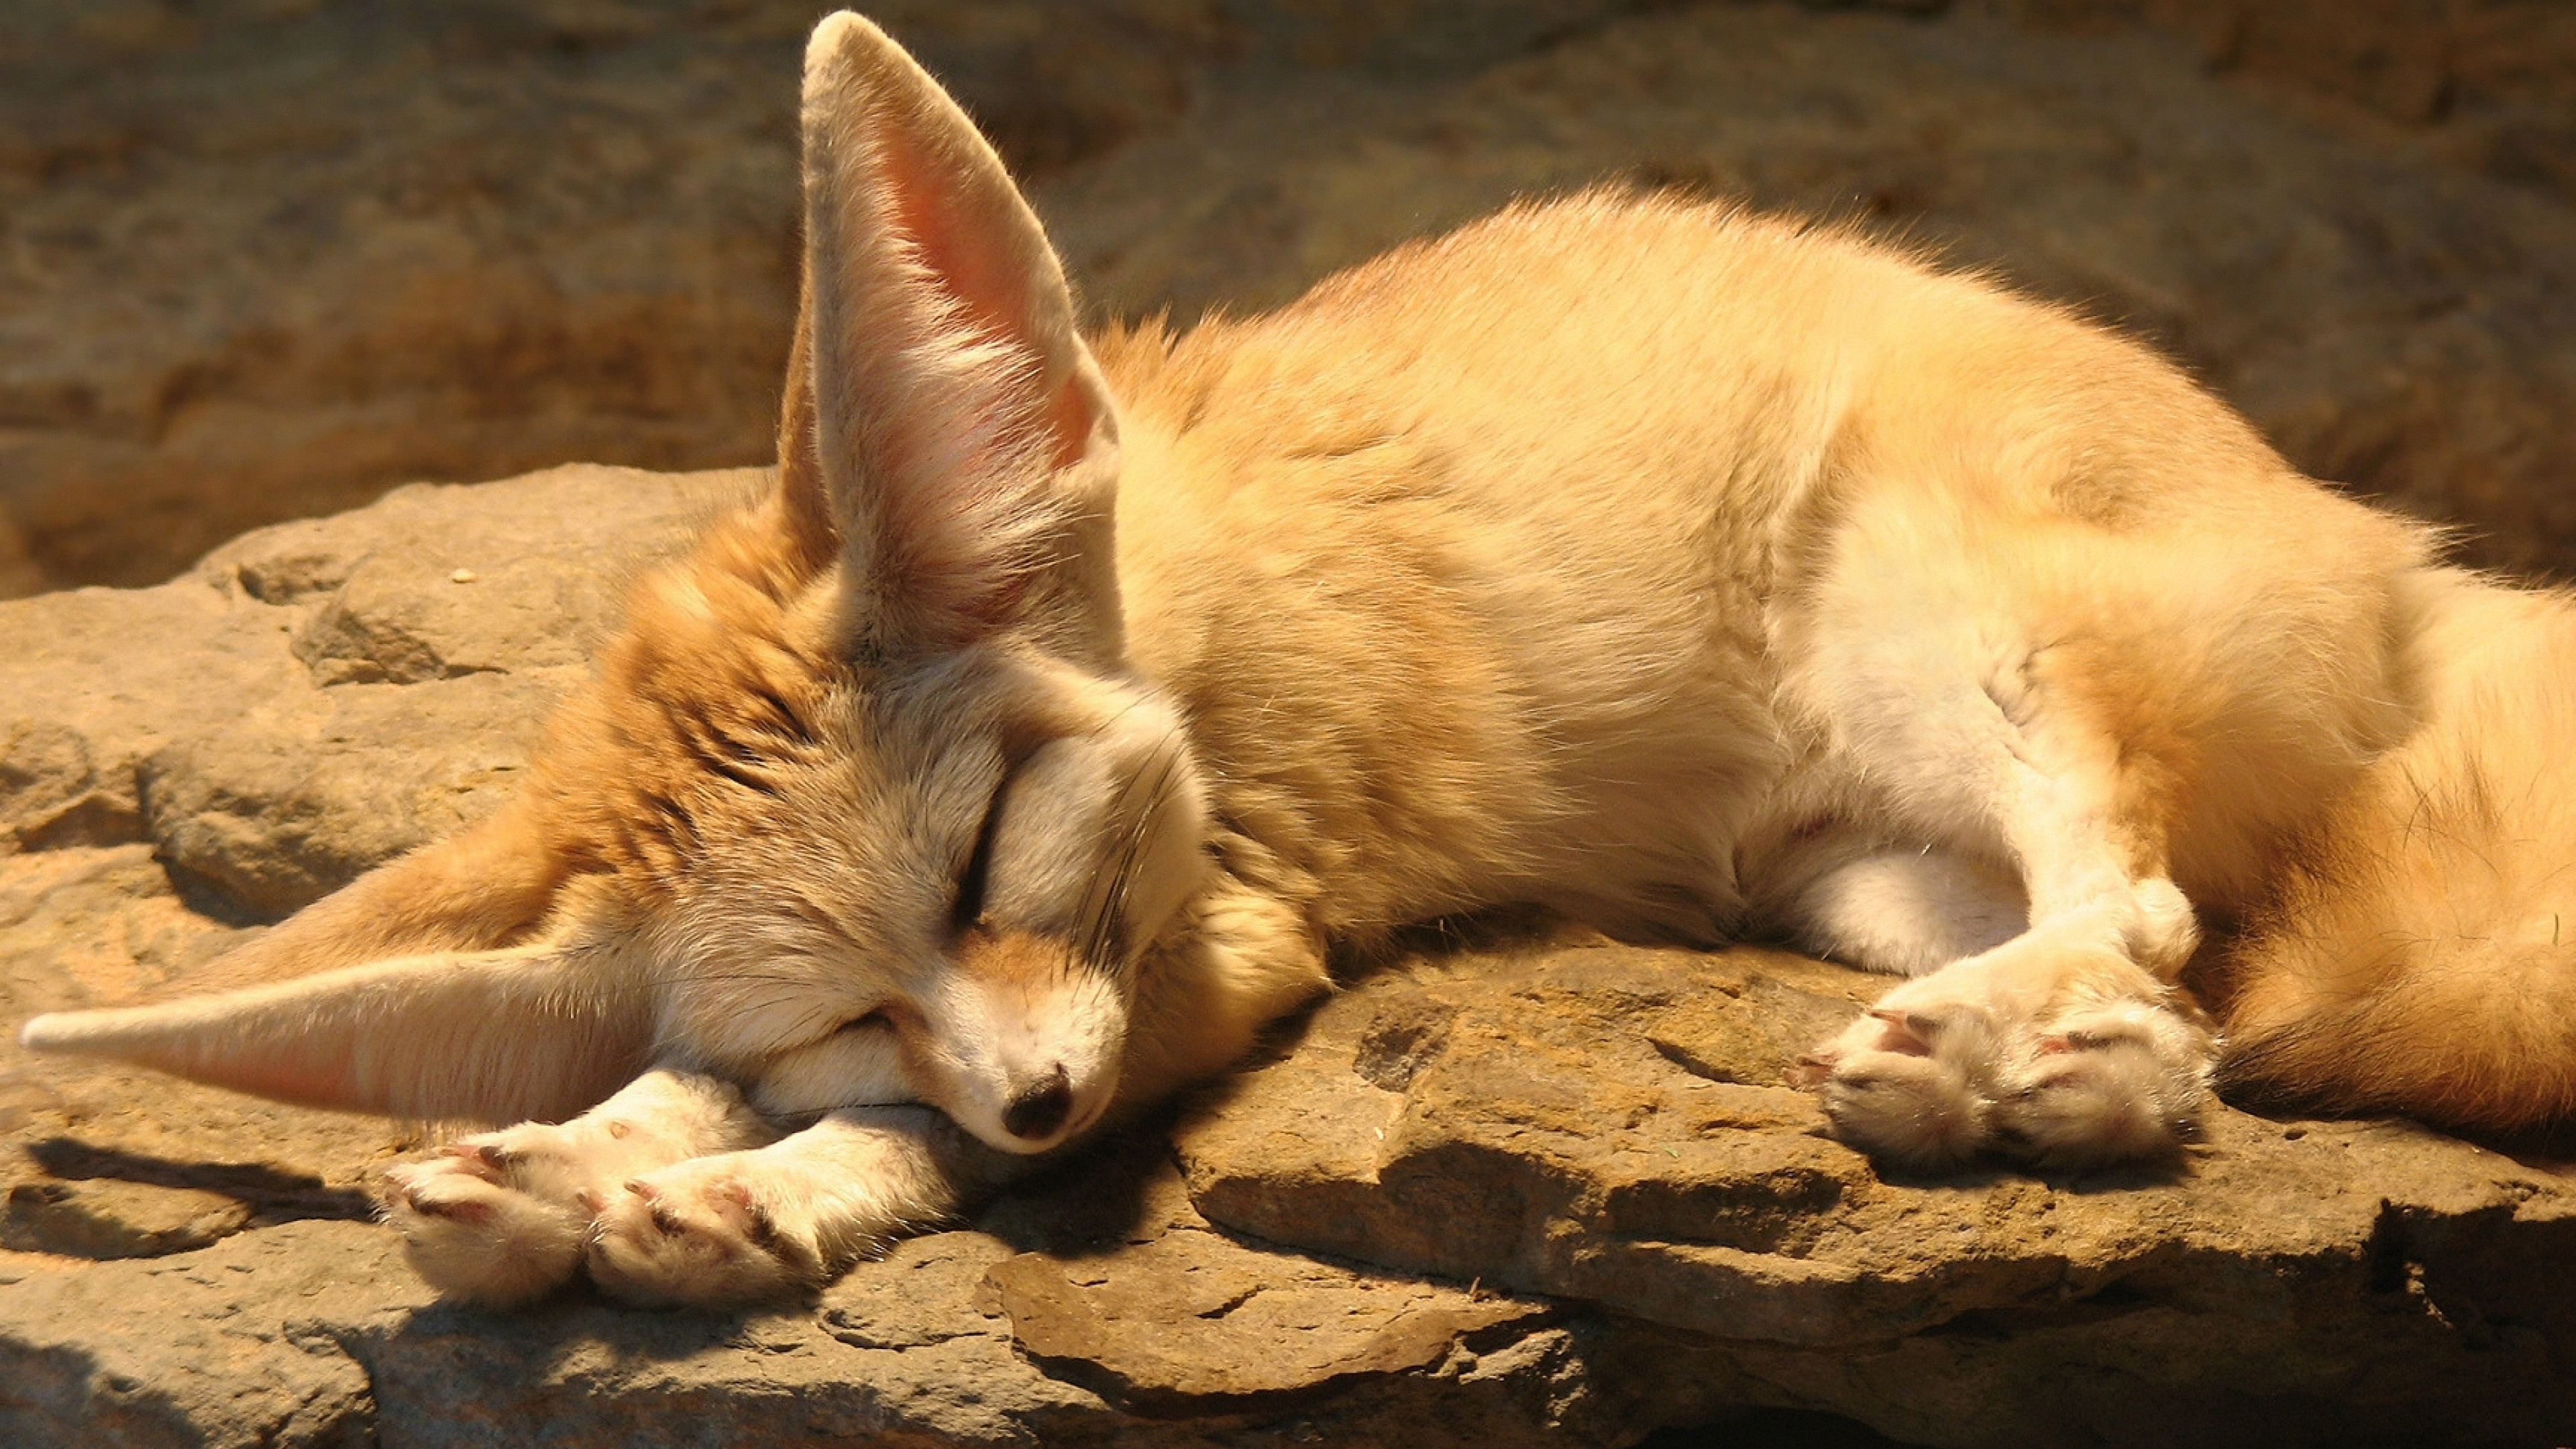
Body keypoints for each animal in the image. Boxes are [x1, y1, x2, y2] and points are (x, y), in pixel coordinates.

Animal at [20, 8, 2576, 1299]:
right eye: (844, 991)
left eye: (990, 860)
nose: (1040, 1107)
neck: (1157, 606)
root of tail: (2400, 550)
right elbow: (722, 1088)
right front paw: (587, 1155)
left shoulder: (1214, 946)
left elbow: (894, 1149)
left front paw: (748, 1193)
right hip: (1843, 867)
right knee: (2191, 991)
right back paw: (2036, 1081)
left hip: (1944, 631)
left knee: (2135, 913)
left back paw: (2000, 1056)